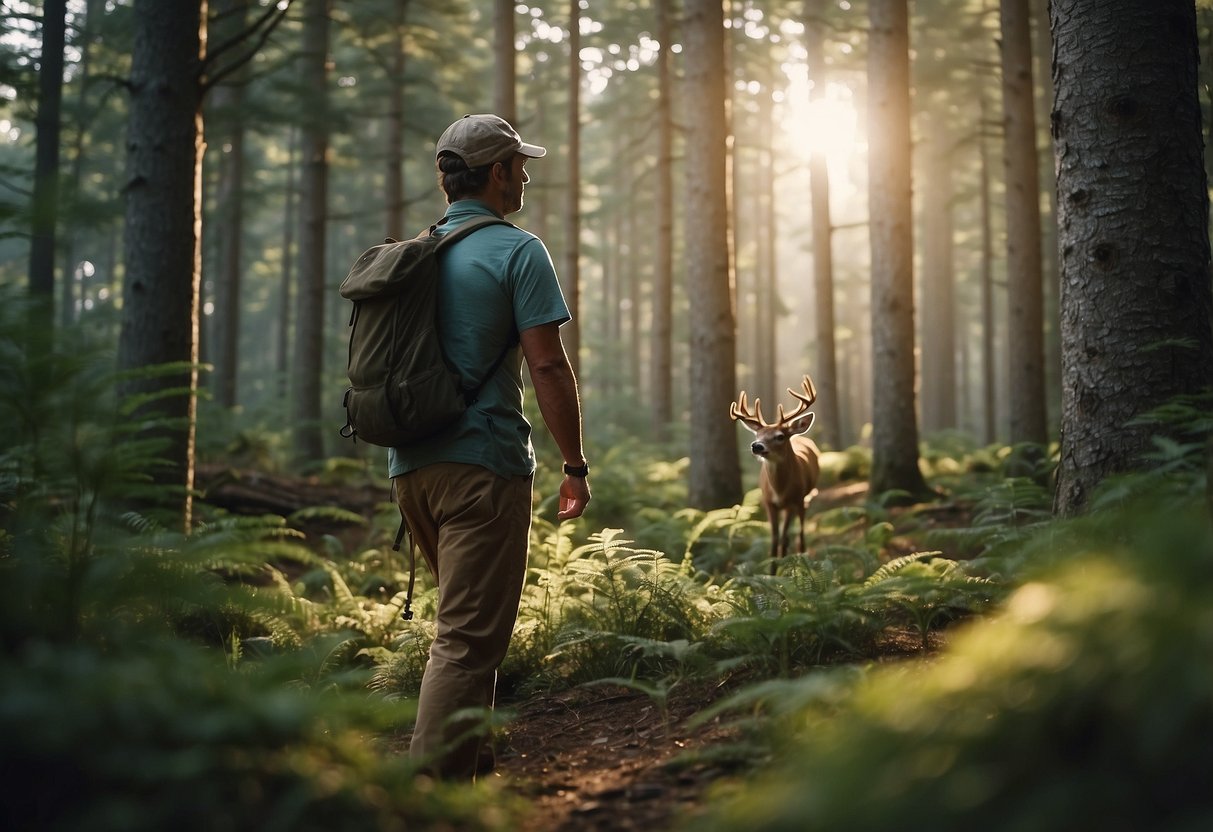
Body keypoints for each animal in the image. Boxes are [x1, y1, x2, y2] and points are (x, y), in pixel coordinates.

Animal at [727, 375, 824, 572]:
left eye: (780, 436)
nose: (756, 446)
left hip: (803, 499)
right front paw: (772, 572)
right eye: (757, 435)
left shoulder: (793, 501)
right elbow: (773, 540)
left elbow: (787, 539)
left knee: (800, 533)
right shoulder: (768, 502)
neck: (780, 491)